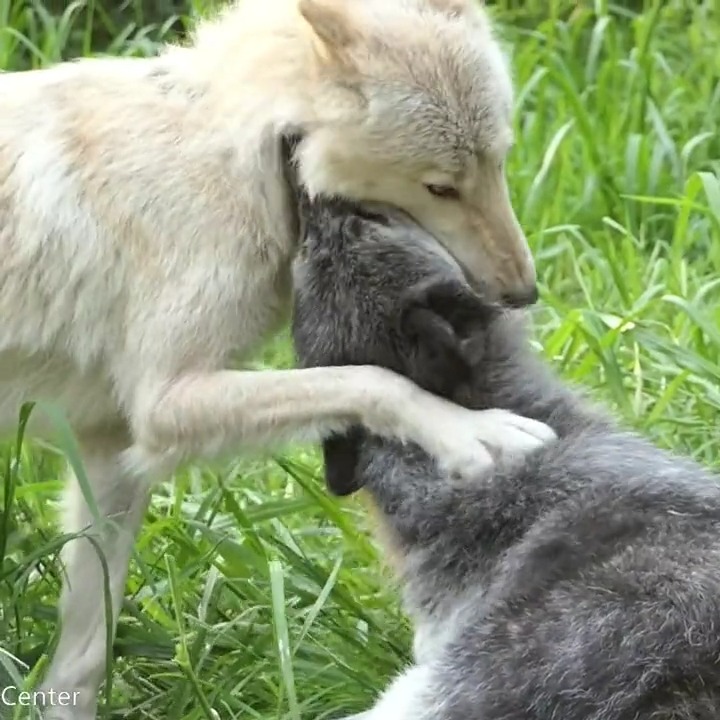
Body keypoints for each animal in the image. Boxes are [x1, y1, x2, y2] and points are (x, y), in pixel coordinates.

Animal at [0, 0, 558, 716]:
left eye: (499, 163)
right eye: (440, 187)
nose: (524, 292)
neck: (240, 163)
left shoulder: (114, 445)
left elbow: (85, 652)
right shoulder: (165, 404)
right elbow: (372, 380)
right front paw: (470, 430)